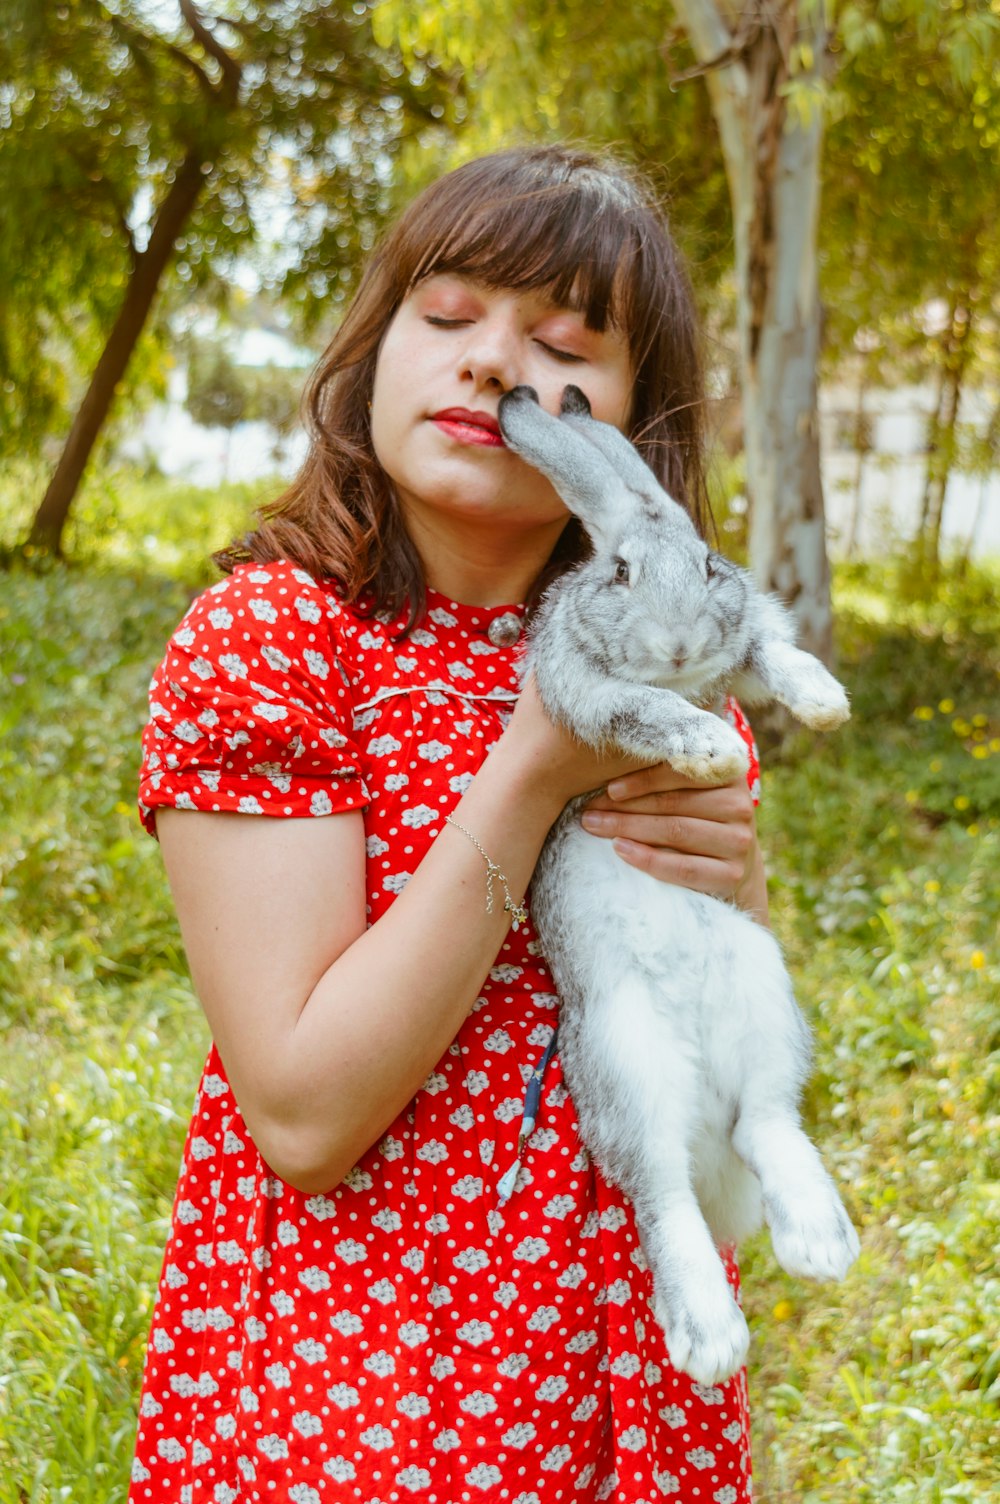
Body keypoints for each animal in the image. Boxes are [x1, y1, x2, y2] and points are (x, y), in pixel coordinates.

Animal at [496, 385, 860, 1383]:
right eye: (619, 573)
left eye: (706, 564)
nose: (678, 642)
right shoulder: (583, 696)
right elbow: (643, 707)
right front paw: (710, 748)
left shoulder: (749, 633)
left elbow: (772, 650)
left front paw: (824, 703)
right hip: (623, 1060)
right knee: (662, 1193)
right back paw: (708, 1332)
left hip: (766, 1001)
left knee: (766, 1124)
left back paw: (820, 1244)